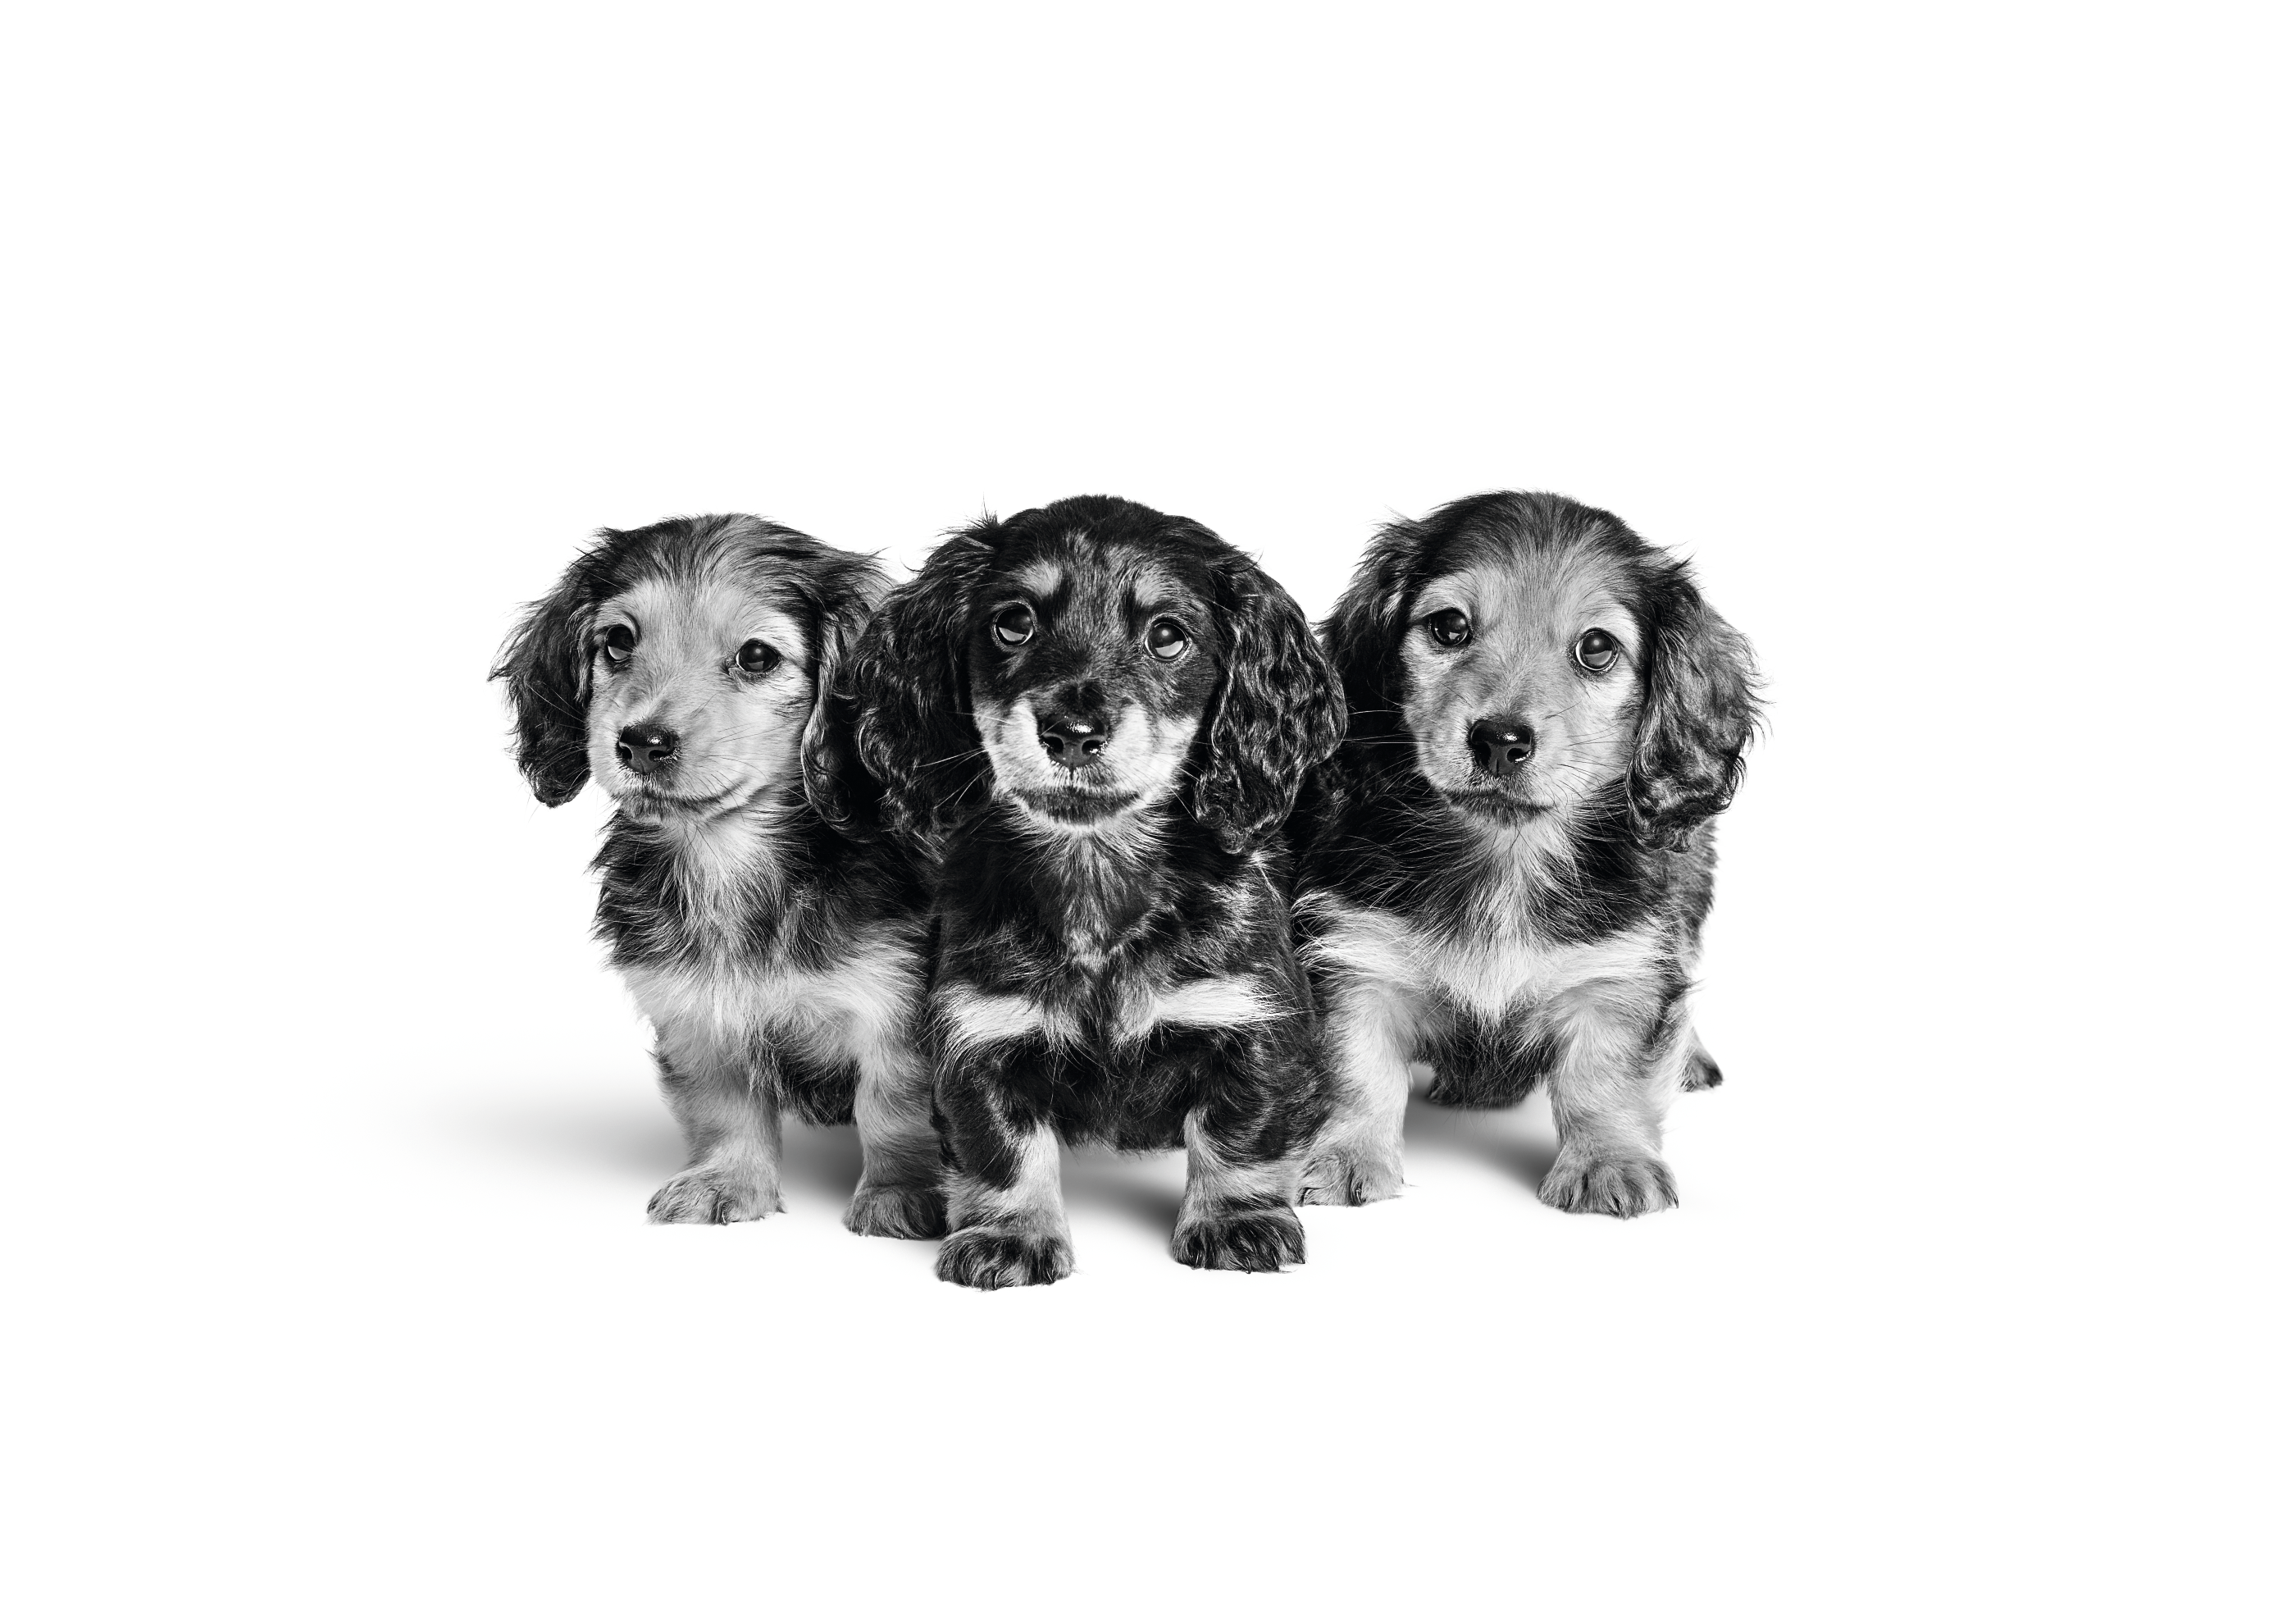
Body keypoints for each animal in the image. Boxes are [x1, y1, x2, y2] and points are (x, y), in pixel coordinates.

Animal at [489, 514, 945, 1240]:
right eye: (618, 641)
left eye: (757, 657)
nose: (641, 743)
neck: (729, 857)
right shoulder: (697, 1008)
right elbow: (724, 1105)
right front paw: (727, 1181)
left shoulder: (897, 1010)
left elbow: (894, 1105)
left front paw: (904, 1194)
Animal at [845, 495, 1341, 1295]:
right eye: (1013, 622)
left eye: (1167, 636)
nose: (1072, 732)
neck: (1096, 883)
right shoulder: (979, 1032)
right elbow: (1002, 1149)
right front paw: (1009, 1237)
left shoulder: (1252, 1020)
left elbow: (1240, 1133)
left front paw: (1237, 1223)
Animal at [1295, 495, 1754, 1221]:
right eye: (1449, 627)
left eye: (1597, 648)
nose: (1499, 740)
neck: (1505, 860)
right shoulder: (1353, 957)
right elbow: (1355, 1069)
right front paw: (1344, 1156)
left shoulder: (1619, 967)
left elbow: (1605, 1076)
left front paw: (1610, 1162)